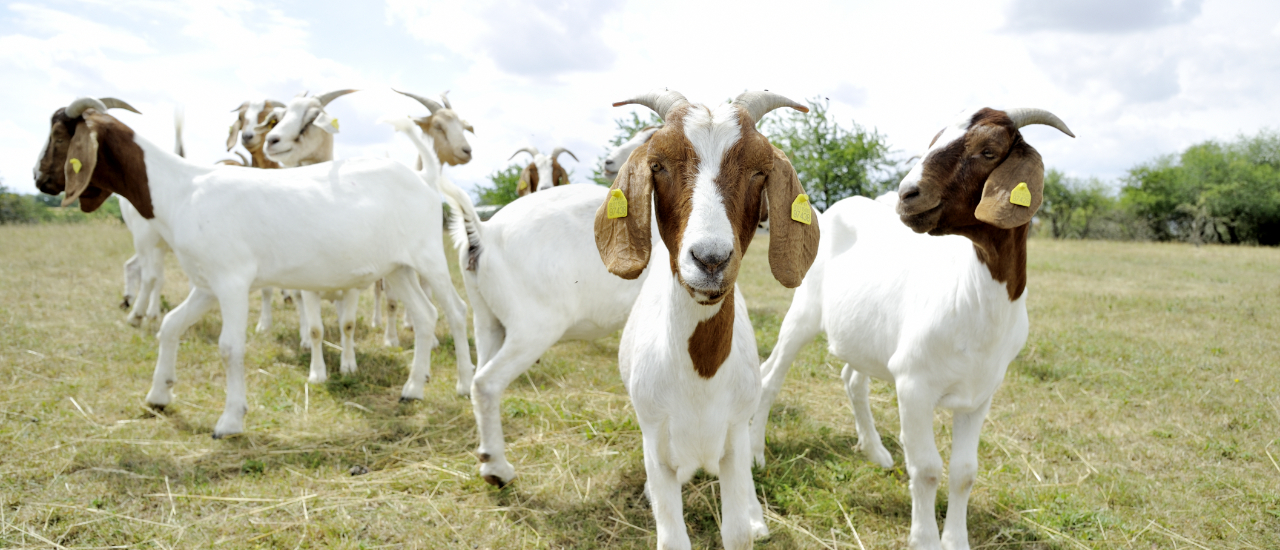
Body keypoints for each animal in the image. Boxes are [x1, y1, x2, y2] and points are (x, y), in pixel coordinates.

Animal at [591, 90, 814, 550]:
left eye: (760, 171)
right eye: (658, 164)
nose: (711, 260)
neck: (700, 376)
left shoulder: (734, 438)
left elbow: (737, 532)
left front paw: (751, 521)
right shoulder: (656, 439)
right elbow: (672, 538)